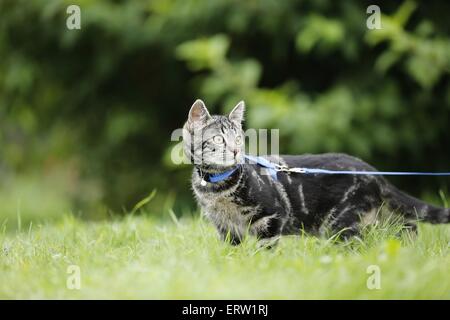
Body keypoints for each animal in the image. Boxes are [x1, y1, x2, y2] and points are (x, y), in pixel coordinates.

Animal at [182, 99, 450, 244]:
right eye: (218, 138)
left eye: (238, 138)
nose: (237, 150)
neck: (217, 186)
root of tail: (373, 171)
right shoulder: (225, 227)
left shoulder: (271, 217)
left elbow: (265, 248)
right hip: (379, 217)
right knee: (408, 225)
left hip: (341, 224)